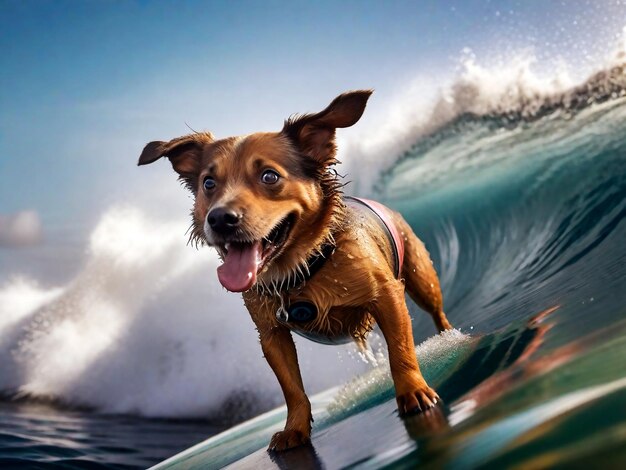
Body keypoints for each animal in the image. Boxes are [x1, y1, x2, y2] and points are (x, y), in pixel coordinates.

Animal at [138, 90, 448, 450]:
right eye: (209, 183)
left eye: (269, 176)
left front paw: (413, 390)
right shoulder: (272, 335)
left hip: (423, 280)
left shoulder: (387, 297)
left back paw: (447, 338)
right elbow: (292, 389)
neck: (301, 270)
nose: (219, 219)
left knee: (438, 312)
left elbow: (400, 351)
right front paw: (295, 428)